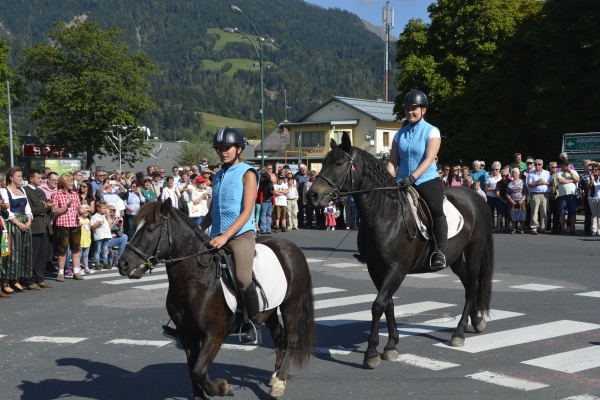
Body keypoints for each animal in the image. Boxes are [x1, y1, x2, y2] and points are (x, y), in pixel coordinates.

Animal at [115, 200, 316, 396]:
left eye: (149, 228)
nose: (123, 264)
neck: (198, 279)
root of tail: (291, 247)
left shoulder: (214, 335)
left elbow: (198, 371)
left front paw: (223, 388)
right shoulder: (187, 334)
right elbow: (193, 371)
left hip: (291, 305)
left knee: (291, 339)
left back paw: (279, 383)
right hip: (269, 311)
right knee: (279, 336)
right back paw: (275, 378)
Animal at [308, 134, 494, 368]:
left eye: (339, 163)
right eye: (323, 163)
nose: (313, 195)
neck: (384, 214)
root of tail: (477, 198)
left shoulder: (397, 268)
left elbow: (378, 305)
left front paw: (371, 352)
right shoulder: (376, 269)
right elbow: (388, 304)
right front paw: (391, 345)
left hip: (474, 253)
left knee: (472, 288)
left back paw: (459, 333)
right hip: (457, 260)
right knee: (471, 285)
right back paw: (477, 321)